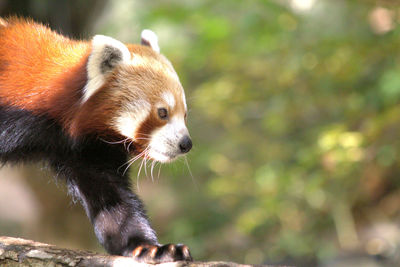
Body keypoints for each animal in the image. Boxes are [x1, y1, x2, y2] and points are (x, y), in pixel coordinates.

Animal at [0, 17, 192, 264]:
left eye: (184, 115)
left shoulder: (86, 147)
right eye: (162, 113)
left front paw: (149, 248)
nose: (186, 144)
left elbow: (112, 201)